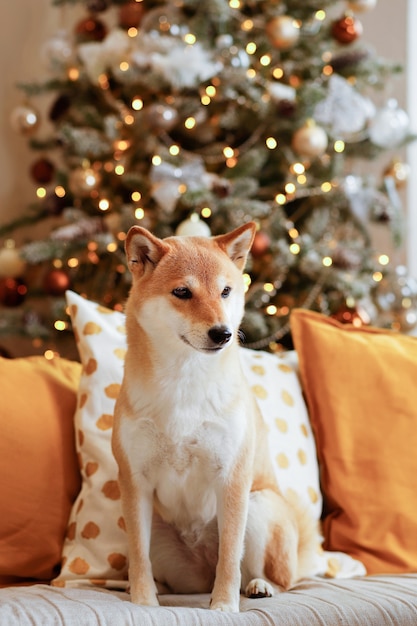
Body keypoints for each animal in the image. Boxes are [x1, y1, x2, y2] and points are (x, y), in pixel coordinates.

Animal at [112, 223, 316, 608]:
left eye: (225, 291)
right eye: (182, 292)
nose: (222, 333)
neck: (184, 381)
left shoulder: (232, 478)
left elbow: (230, 558)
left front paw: (223, 606)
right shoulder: (135, 482)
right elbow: (139, 557)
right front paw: (143, 602)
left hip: (259, 507)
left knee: (276, 578)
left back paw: (259, 586)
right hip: (159, 532)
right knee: (165, 575)